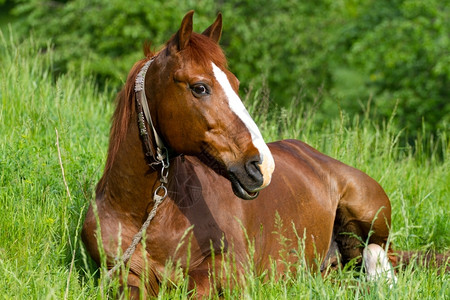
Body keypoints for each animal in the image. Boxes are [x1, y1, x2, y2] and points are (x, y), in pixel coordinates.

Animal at [81, 11, 398, 298]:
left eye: (235, 84)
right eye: (200, 87)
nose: (263, 166)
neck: (144, 213)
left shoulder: (233, 274)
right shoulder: (124, 275)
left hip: (369, 216)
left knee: (380, 255)